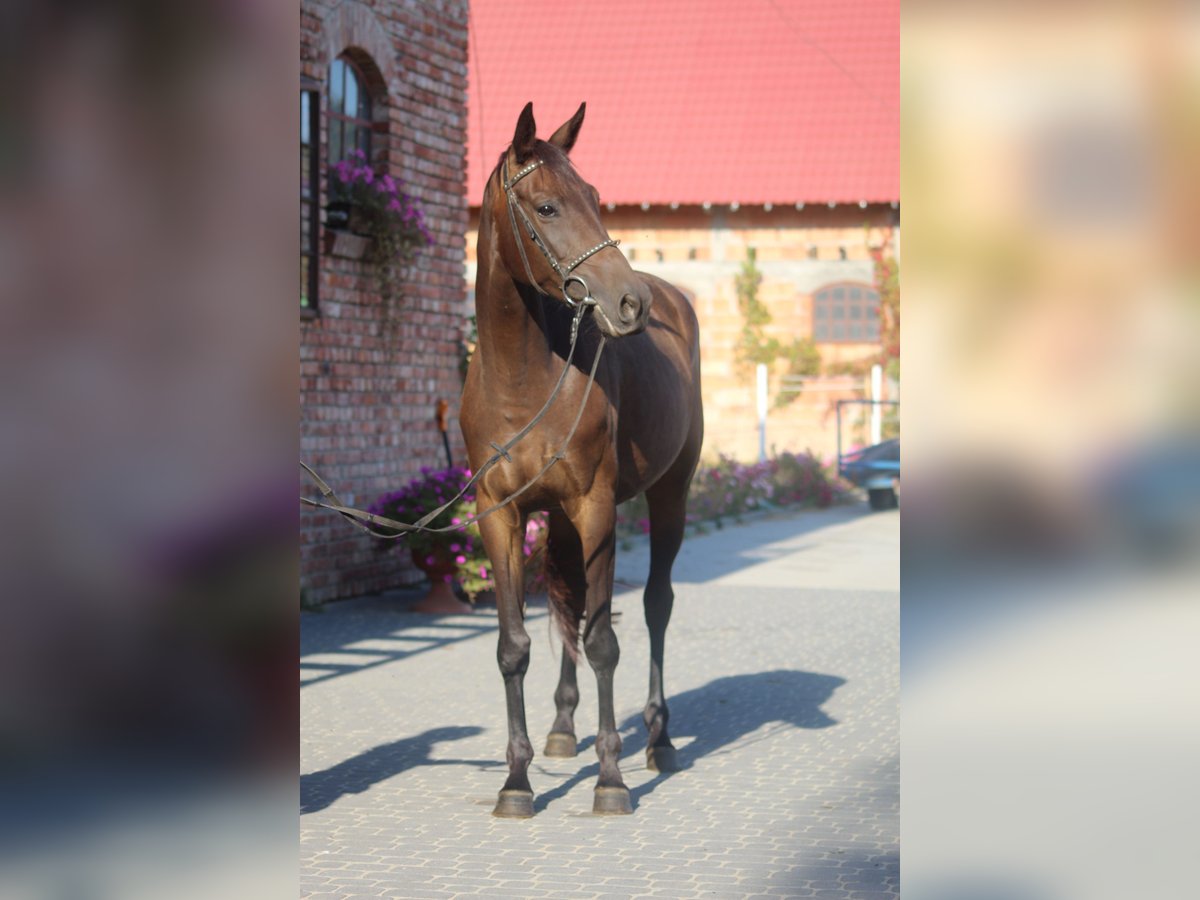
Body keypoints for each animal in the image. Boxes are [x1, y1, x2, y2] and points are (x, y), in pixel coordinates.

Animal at [458, 102, 700, 820]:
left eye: (594, 197)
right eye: (546, 206)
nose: (629, 304)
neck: (522, 380)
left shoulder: (596, 507)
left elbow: (602, 641)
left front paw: (611, 779)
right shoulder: (501, 514)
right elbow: (515, 645)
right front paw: (516, 782)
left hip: (669, 495)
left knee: (653, 605)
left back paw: (658, 738)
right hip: (560, 521)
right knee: (564, 603)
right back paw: (564, 731)